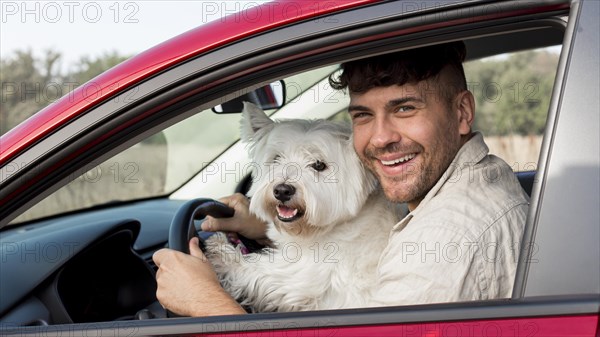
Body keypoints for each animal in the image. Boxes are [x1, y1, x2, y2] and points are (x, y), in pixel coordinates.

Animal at [204, 101, 400, 312]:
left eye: (319, 165)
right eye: (276, 158)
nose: (282, 191)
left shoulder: (301, 274)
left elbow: (258, 270)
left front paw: (219, 250)